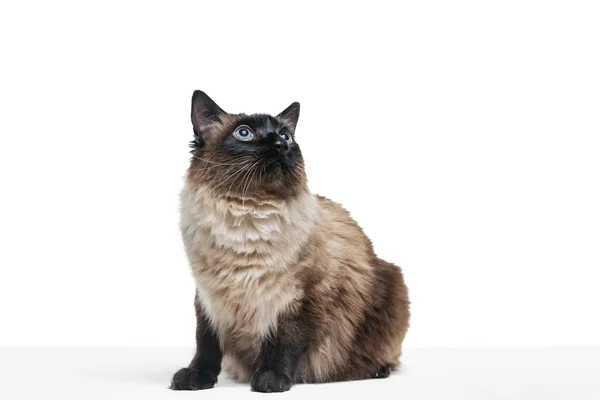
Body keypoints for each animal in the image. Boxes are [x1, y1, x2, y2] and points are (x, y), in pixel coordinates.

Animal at [171, 90, 410, 394]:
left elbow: (284, 343)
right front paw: (196, 378)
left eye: (285, 135)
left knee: (389, 355)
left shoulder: (298, 298)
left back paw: (378, 370)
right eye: (244, 133)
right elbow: (206, 344)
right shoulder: (209, 298)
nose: (279, 144)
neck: (247, 217)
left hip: (393, 285)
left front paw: (270, 380)